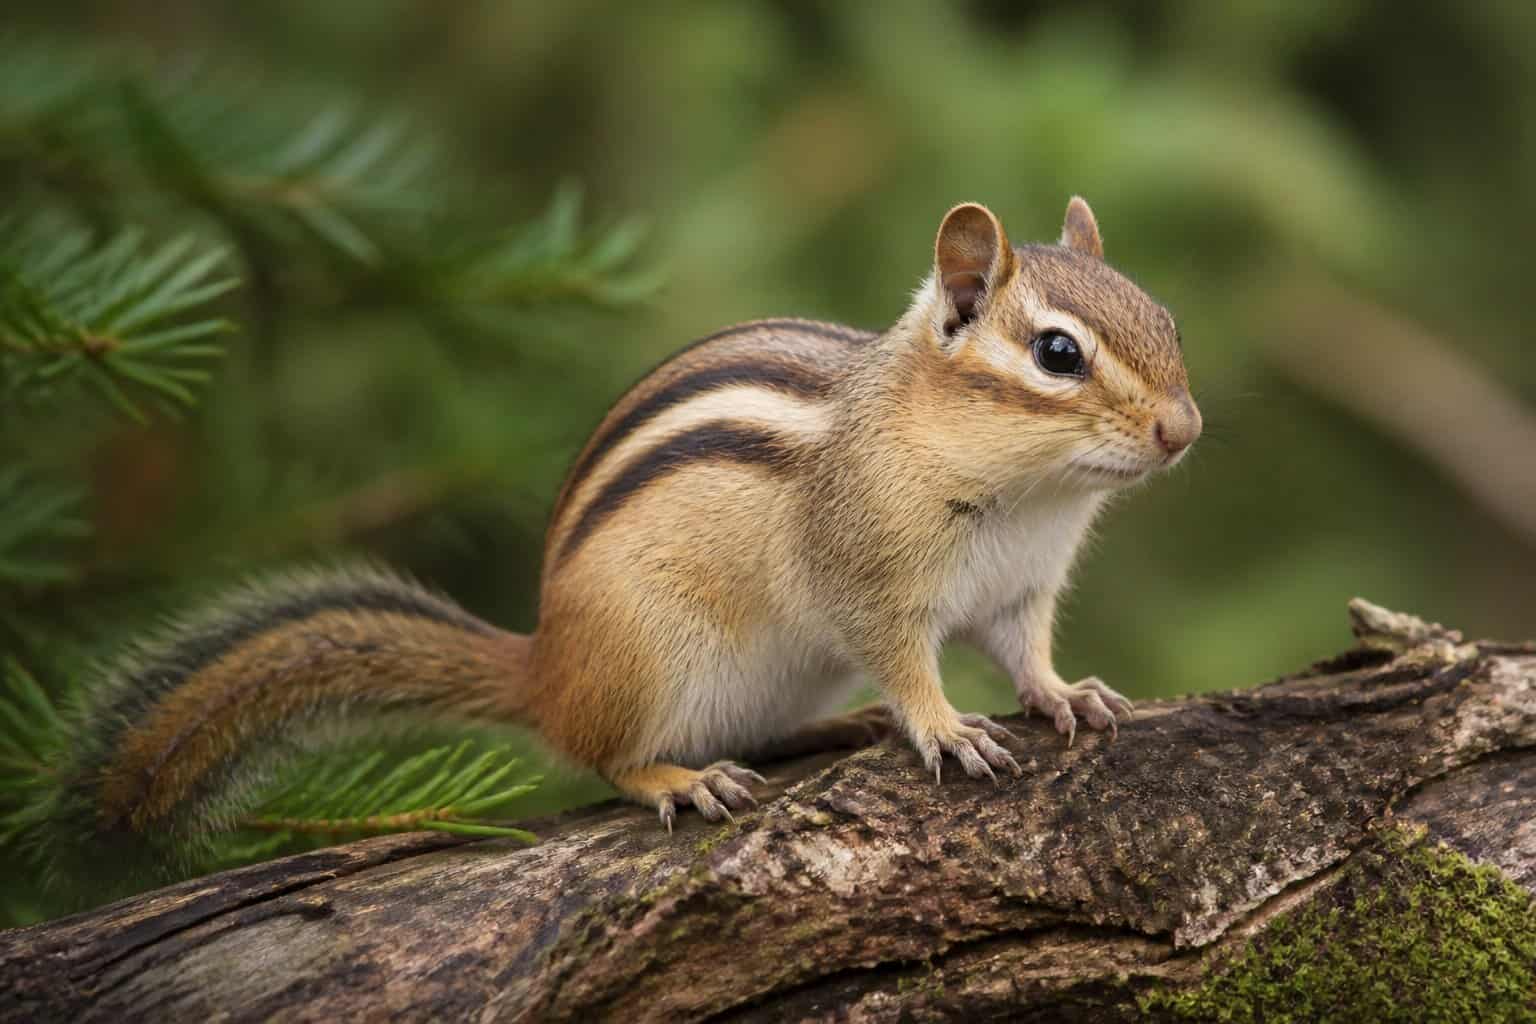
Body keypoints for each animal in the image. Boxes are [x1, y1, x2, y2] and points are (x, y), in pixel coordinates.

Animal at [58, 197, 1199, 873]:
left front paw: (1066, 694)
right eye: (1058, 353)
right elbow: (903, 658)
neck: (1029, 496)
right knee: (603, 753)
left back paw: (828, 730)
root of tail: (544, 663)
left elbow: (1026, 653)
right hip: (653, 653)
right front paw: (945, 726)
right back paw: (681, 779)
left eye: (1167, 321)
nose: (1184, 430)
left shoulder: (1020, 590)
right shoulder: (865, 573)